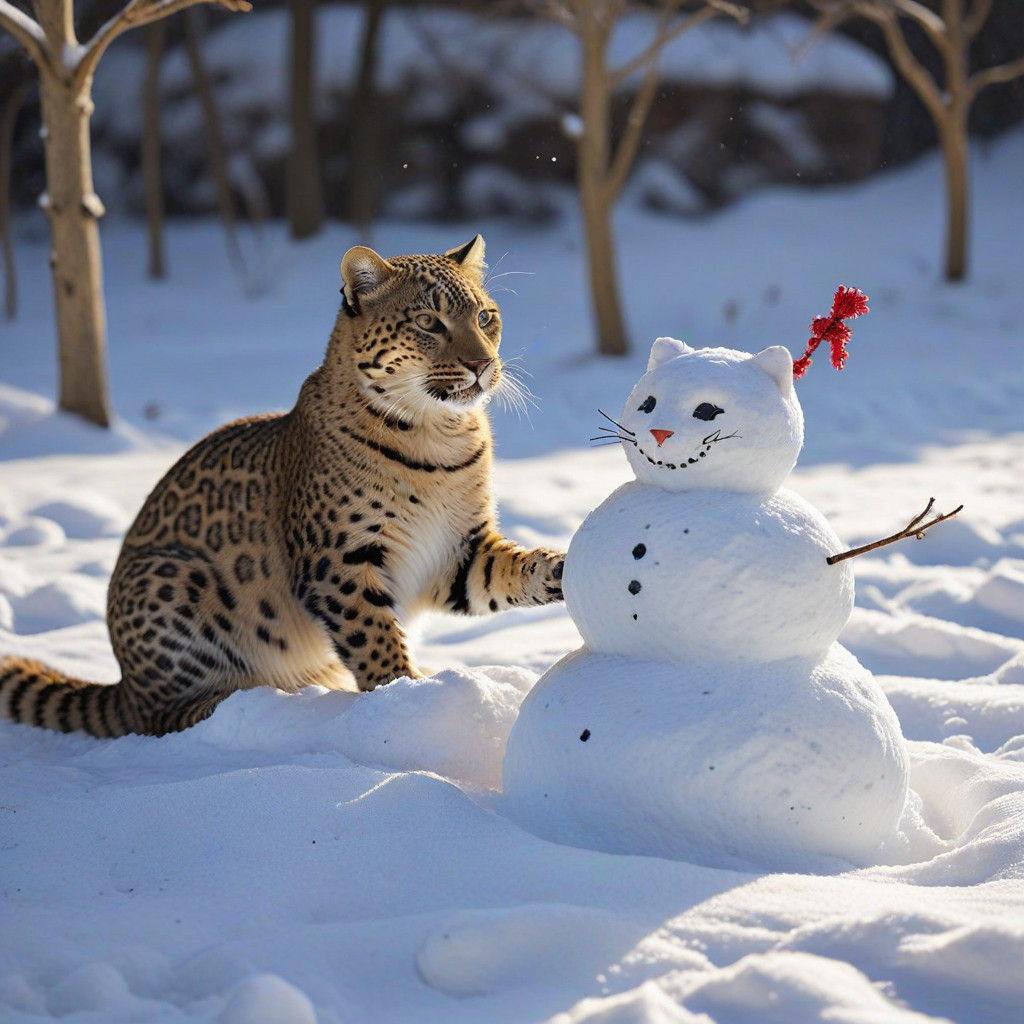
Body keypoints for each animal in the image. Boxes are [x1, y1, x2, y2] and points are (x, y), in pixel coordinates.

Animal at [0, 236, 565, 737]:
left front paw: (557, 570)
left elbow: (505, 572)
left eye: (485, 317)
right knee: (159, 718)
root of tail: (122, 684)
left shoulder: (455, 551)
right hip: (170, 579)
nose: (482, 364)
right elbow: (375, 639)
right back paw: (248, 704)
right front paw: (407, 698)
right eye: (428, 322)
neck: (438, 434)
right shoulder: (339, 563)